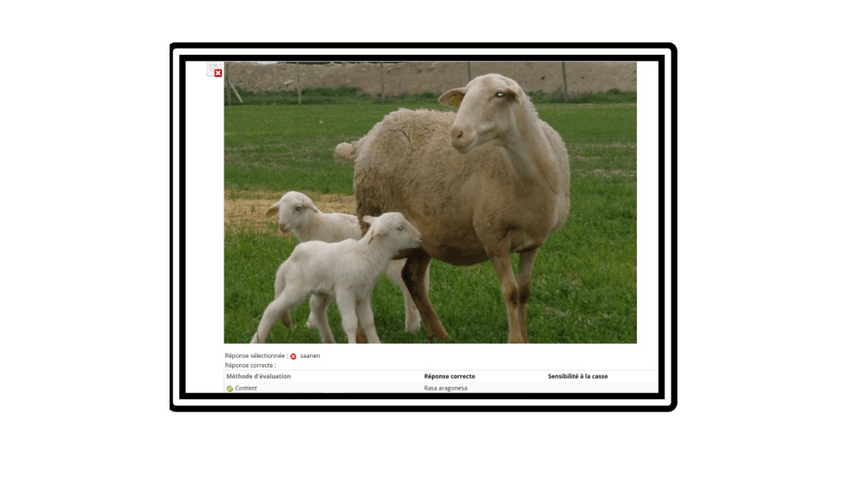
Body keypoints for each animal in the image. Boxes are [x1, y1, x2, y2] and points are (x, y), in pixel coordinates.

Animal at [264, 191, 429, 333]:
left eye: (297, 208)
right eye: (280, 208)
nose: (282, 226)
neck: (317, 225)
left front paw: (311, 323)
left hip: (397, 265)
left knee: (408, 289)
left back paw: (412, 326)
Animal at [335, 73, 570, 343]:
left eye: (500, 94)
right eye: (464, 96)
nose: (456, 133)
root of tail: (365, 139)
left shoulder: (533, 243)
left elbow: (524, 292)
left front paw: (526, 339)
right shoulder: (493, 236)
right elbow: (510, 292)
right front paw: (515, 340)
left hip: (423, 236)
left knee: (412, 276)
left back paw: (437, 332)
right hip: (373, 213)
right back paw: (362, 336)